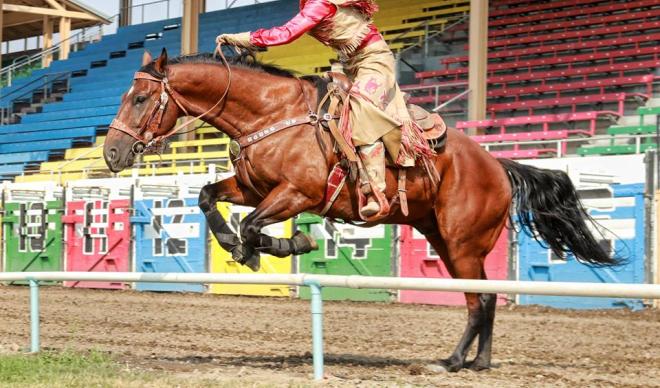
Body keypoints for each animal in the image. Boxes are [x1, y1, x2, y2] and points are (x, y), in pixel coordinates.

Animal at [102, 48, 620, 372]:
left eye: (141, 98)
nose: (111, 153)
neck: (272, 115)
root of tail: (496, 164)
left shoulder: (296, 193)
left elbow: (252, 225)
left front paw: (286, 243)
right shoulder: (252, 187)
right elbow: (208, 197)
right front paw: (238, 245)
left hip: (462, 242)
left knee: (480, 301)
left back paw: (453, 361)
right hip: (446, 241)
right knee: (485, 298)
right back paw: (477, 361)